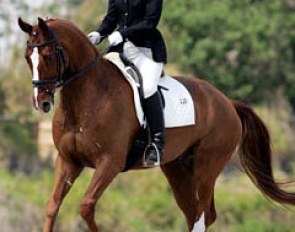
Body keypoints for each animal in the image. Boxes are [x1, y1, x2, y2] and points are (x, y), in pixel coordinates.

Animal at [18, 17, 295, 231]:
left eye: (48, 56)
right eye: (28, 57)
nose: (41, 102)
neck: (88, 99)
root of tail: (227, 101)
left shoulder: (109, 162)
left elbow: (86, 206)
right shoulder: (68, 161)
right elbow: (52, 206)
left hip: (207, 166)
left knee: (204, 214)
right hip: (177, 169)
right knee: (193, 213)